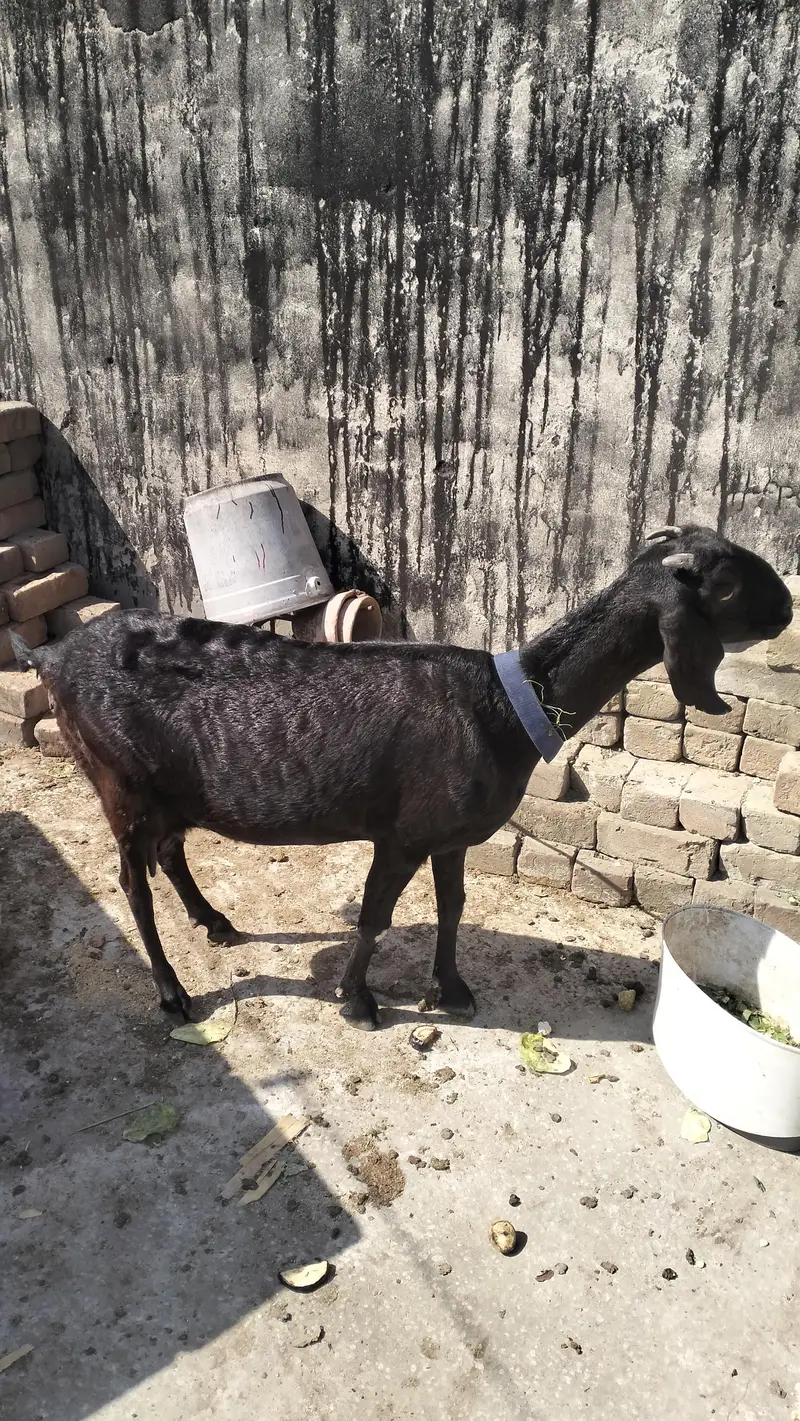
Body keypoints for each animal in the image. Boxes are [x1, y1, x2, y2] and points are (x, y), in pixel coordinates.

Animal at [11, 524, 793, 1029]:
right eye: (727, 581)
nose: (787, 607)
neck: (505, 704)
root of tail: (51, 656)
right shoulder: (403, 833)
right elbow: (374, 915)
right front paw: (358, 1002)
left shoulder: (449, 836)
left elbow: (452, 907)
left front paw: (451, 988)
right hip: (119, 784)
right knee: (132, 884)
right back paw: (172, 993)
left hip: (172, 791)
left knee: (171, 853)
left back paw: (215, 922)